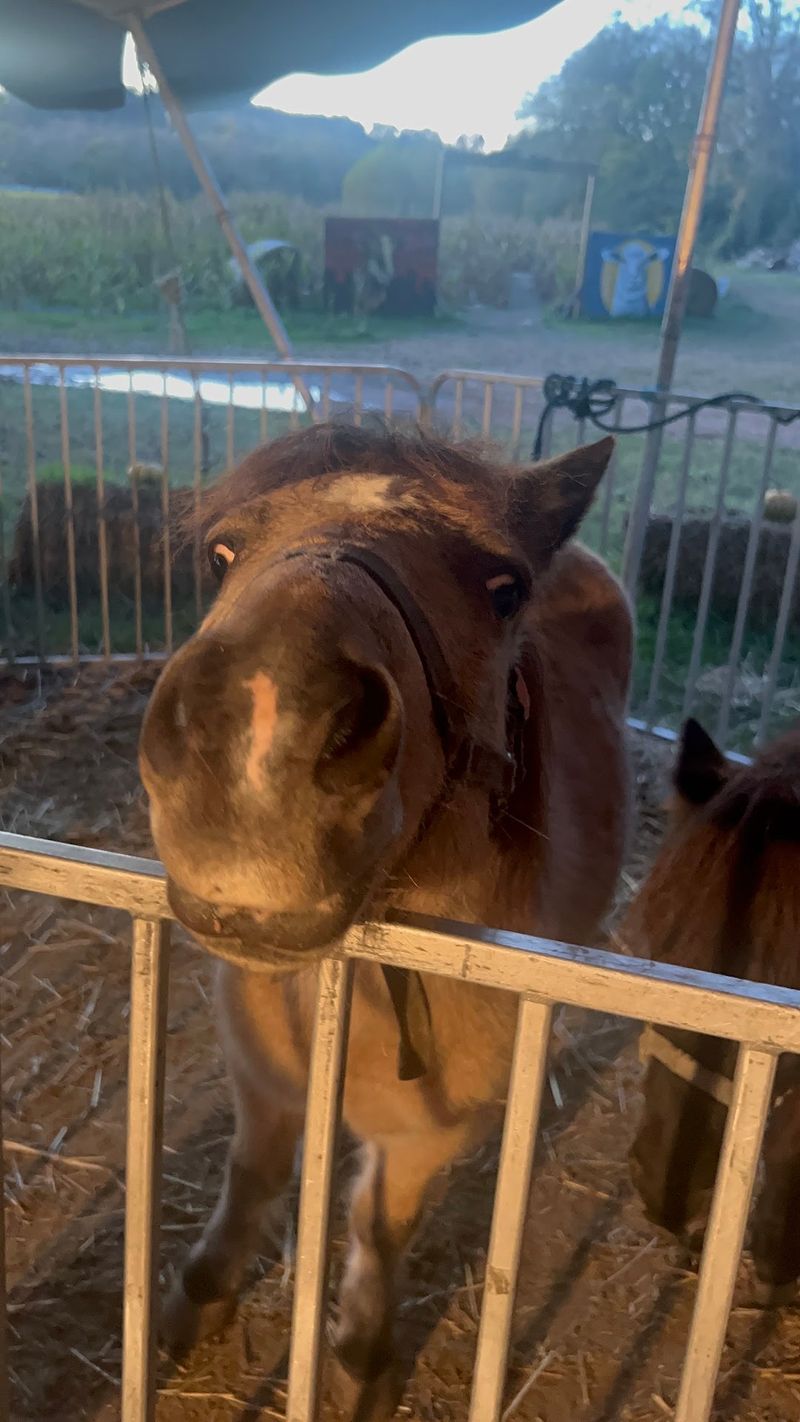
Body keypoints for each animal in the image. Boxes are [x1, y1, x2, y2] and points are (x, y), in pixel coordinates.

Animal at [139, 420, 632, 1414]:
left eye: (503, 588)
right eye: (221, 554)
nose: (260, 729)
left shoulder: (428, 1135)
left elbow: (377, 1225)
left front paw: (359, 1356)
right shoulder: (260, 1070)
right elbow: (253, 1172)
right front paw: (197, 1296)